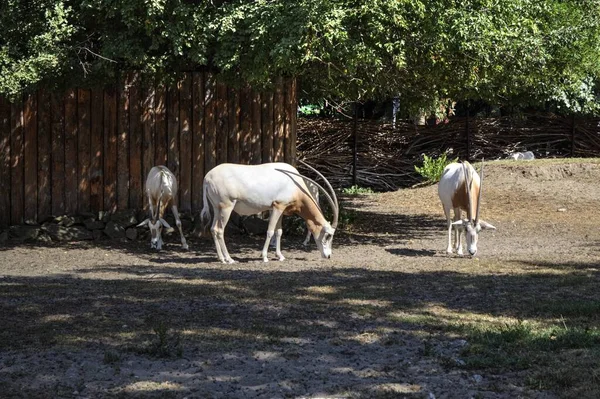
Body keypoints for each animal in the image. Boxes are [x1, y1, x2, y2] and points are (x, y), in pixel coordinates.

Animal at [200, 161, 338, 264]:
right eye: (328, 235)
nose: (328, 256)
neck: (295, 185)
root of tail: (207, 177)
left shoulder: (277, 208)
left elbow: (279, 231)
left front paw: (280, 256)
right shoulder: (278, 206)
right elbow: (270, 231)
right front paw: (265, 257)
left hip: (217, 208)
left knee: (213, 229)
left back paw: (221, 258)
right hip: (227, 207)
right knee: (219, 230)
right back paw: (229, 259)